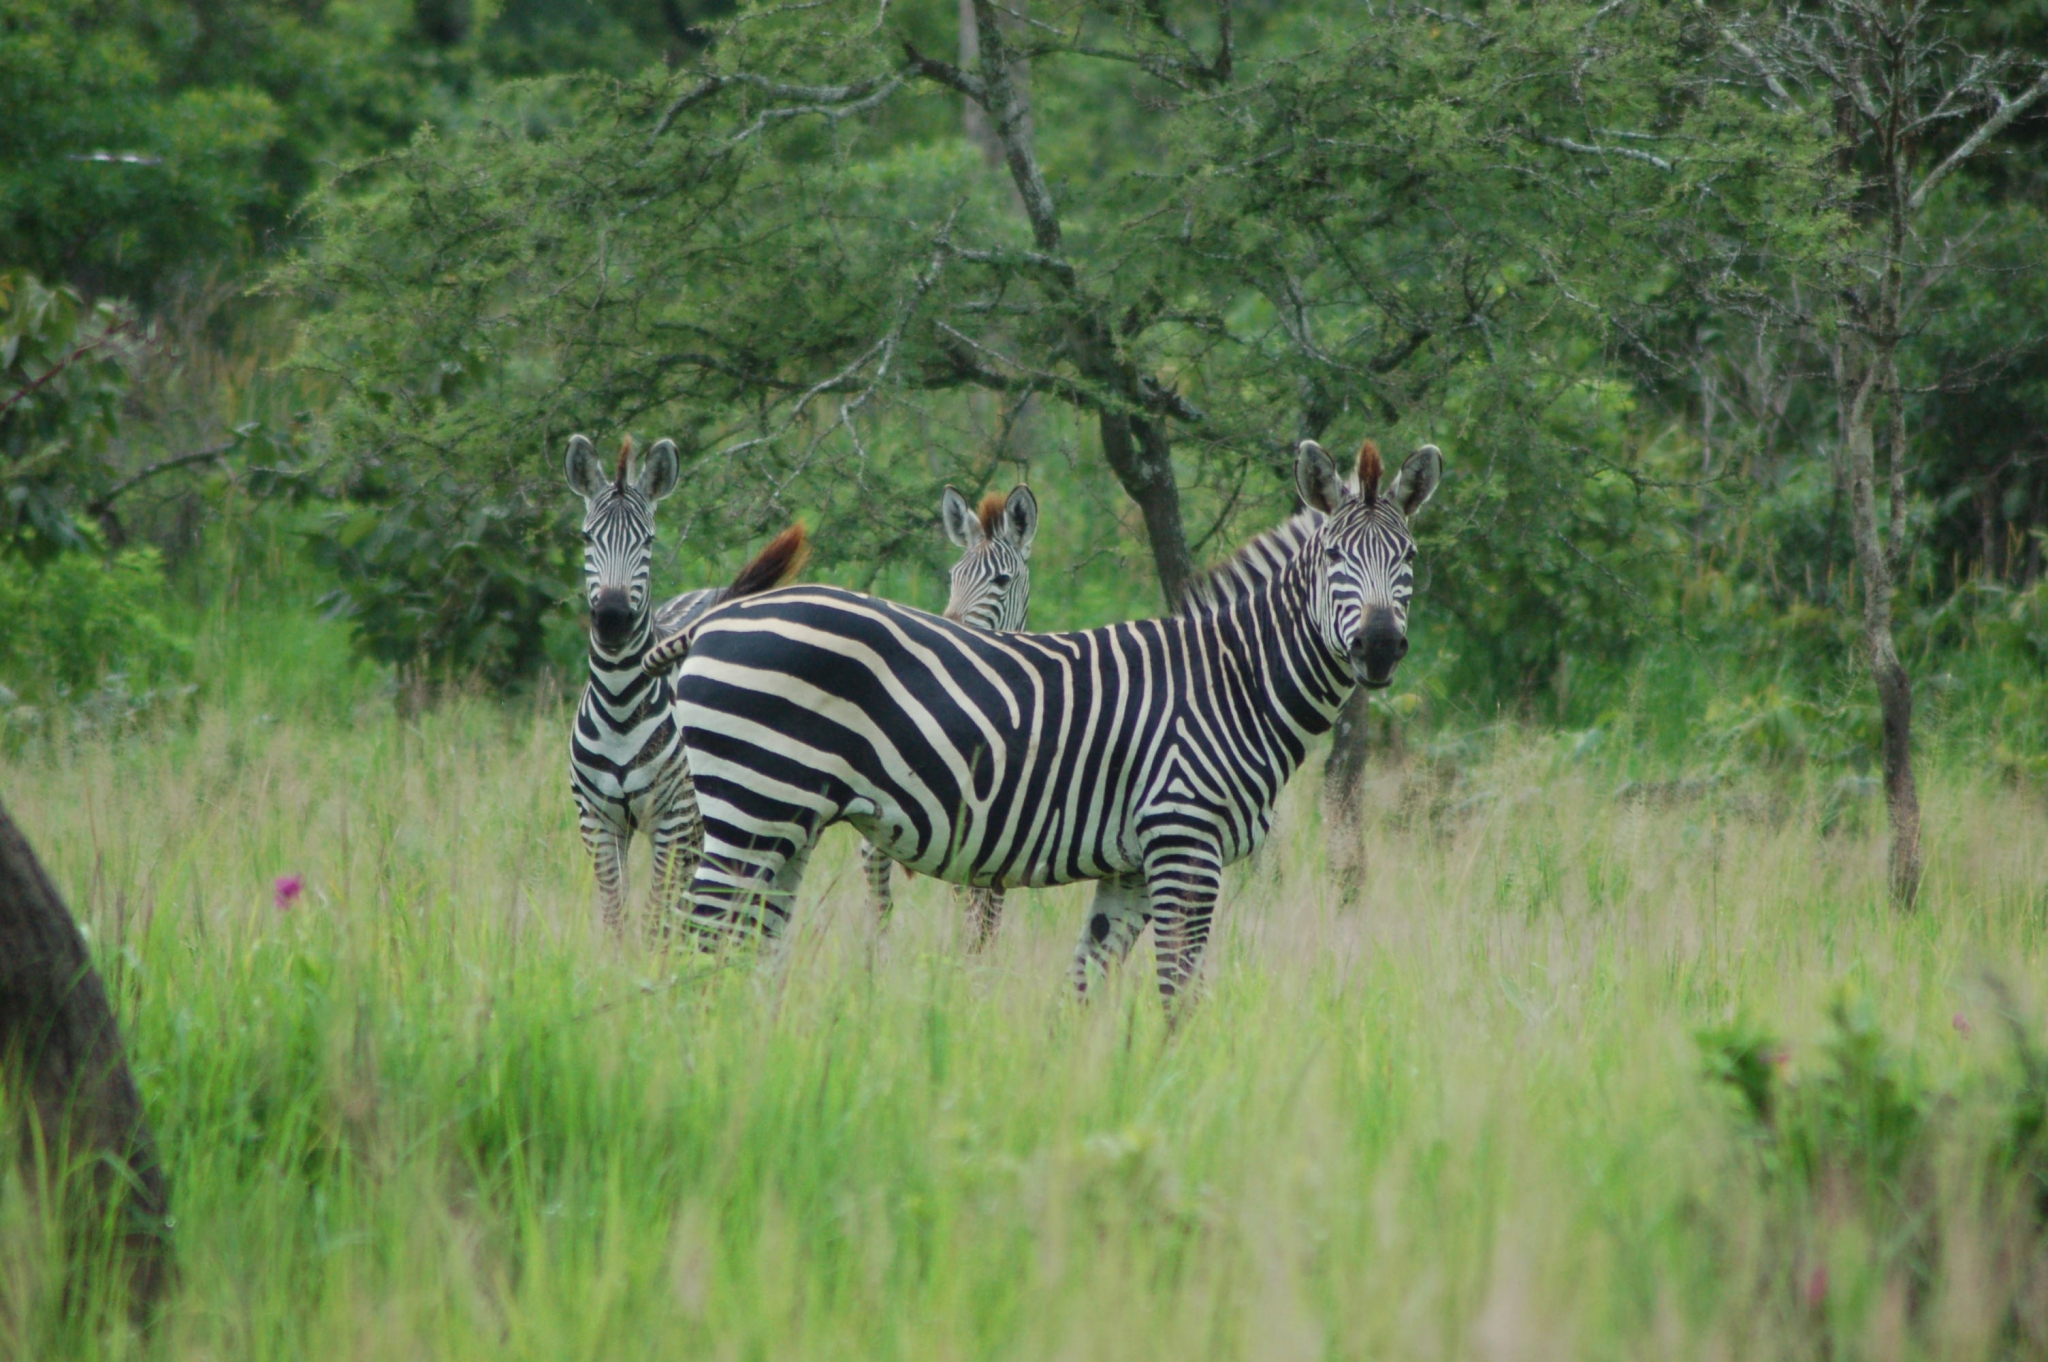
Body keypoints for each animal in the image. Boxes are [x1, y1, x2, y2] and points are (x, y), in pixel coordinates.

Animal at [565, 433, 809, 934]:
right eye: (586, 537)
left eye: (649, 541)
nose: (612, 619)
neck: (619, 706)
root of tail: (717, 596)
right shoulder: (597, 822)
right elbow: (616, 917)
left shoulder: (672, 821)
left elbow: (655, 917)